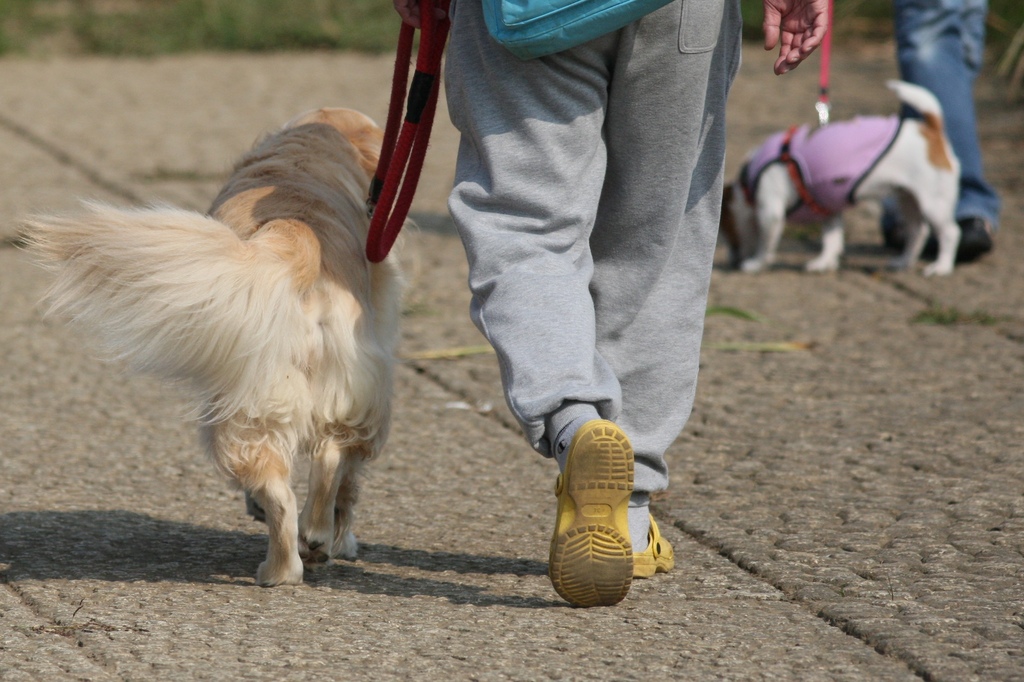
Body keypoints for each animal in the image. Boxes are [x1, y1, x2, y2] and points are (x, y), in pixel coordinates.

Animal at [25, 106, 401, 585]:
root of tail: (295, 234)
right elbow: (349, 487)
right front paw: (344, 541)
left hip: (262, 404)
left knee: (294, 484)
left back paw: (288, 561)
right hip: (314, 400)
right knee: (322, 468)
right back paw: (297, 555)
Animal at [720, 81, 958, 276]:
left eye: (726, 231)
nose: (732, 261)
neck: (746, 185)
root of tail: (931, 130)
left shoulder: (770, 213)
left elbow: (764, 245)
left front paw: (756, 264)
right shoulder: (829, 209)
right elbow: (832, 240)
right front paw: (824, 263)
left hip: (933, 204)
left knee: (950, 233)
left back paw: (941, 267)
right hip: (907, 200)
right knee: (917, 232)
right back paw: (903, 262)